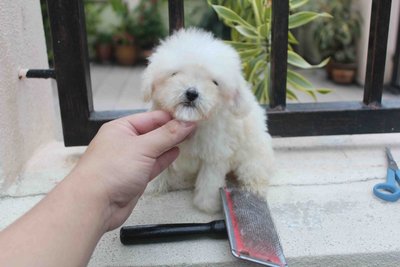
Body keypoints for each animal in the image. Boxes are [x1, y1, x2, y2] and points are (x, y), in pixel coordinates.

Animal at [141, 28, 276, 215]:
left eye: (215, 82)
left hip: (253, 158)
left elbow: (209, 182)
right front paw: (154, 187)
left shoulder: (215, 155)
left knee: (255, 173)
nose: (192, 93)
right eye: (174, 74)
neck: (193, 122)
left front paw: (207, 205)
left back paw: (254, 189)